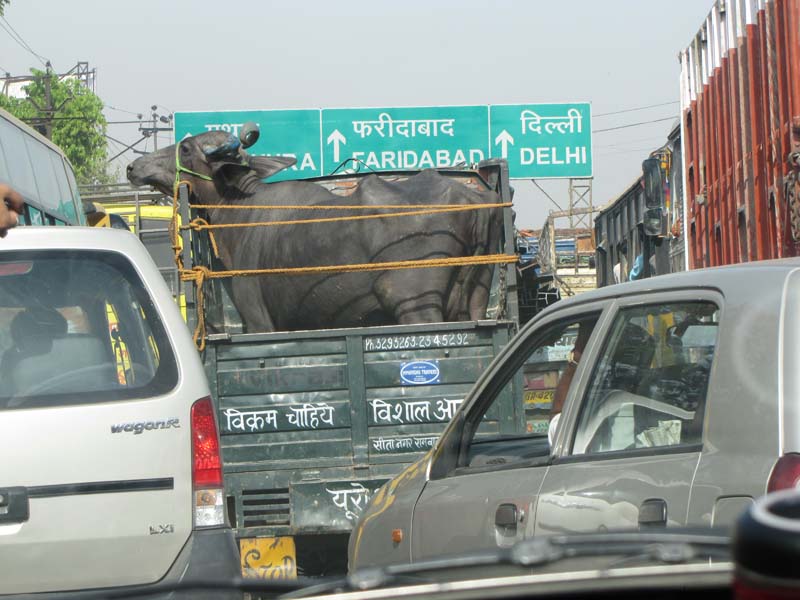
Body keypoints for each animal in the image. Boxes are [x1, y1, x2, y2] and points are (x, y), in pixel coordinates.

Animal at [128, 131, 504, 332]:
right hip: (476, 297)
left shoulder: (259, 319)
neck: (241, 209)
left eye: (185, 148)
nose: (134, 166)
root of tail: (469, 197)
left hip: (415, 307)